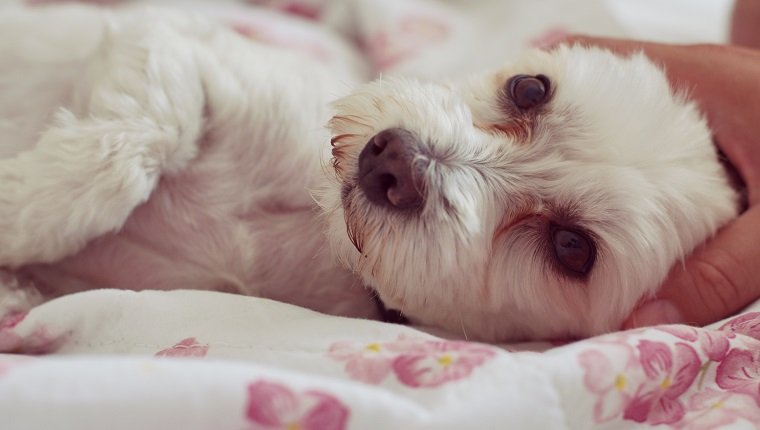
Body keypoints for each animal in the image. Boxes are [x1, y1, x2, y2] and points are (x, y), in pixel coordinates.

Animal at [0, 2, 740, 340]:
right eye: (531, 89)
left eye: (571, 248)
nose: (394, 160)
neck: (309, 223)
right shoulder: (169, 43)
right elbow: (137, 143)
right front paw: (20, 213)